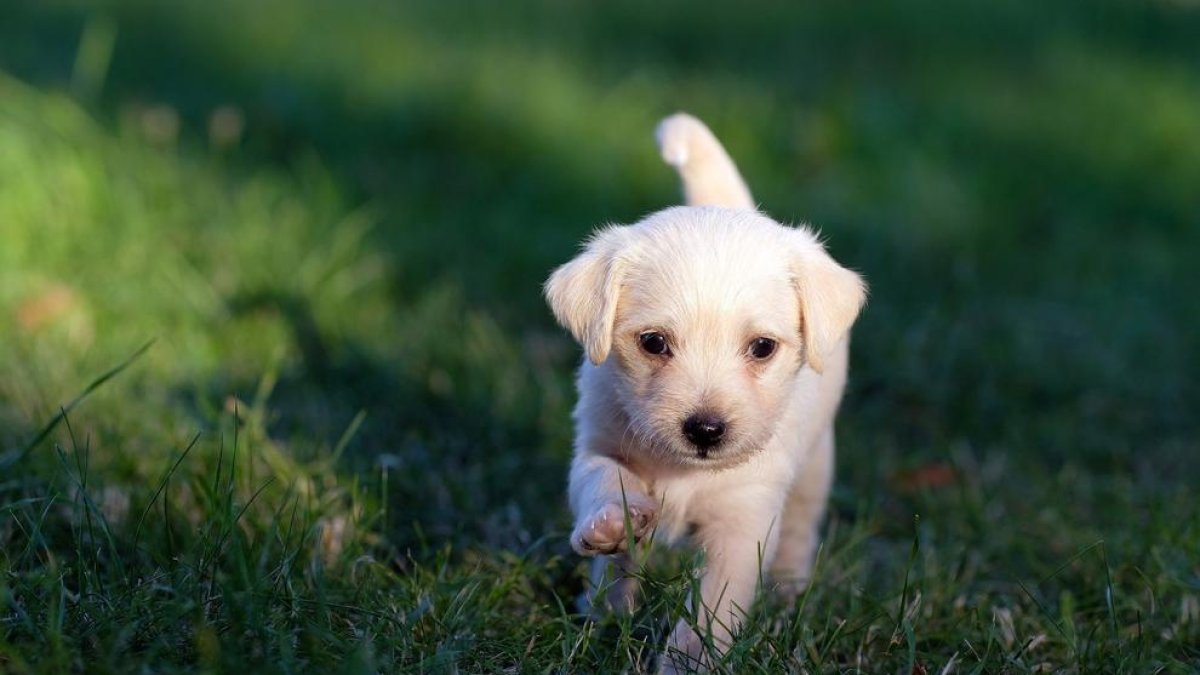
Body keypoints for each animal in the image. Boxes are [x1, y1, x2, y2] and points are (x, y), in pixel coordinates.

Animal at [544, 112, 864, 667]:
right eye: (653, 342)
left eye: (762, 347)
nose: (706, 430)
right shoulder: (597, 444)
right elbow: (603, 480)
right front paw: (612, 523)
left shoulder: (743, 523)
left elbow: (712, 609)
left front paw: (686, 662)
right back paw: (605, 608)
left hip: (816, 465)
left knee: (800, 527)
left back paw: (788, 590)